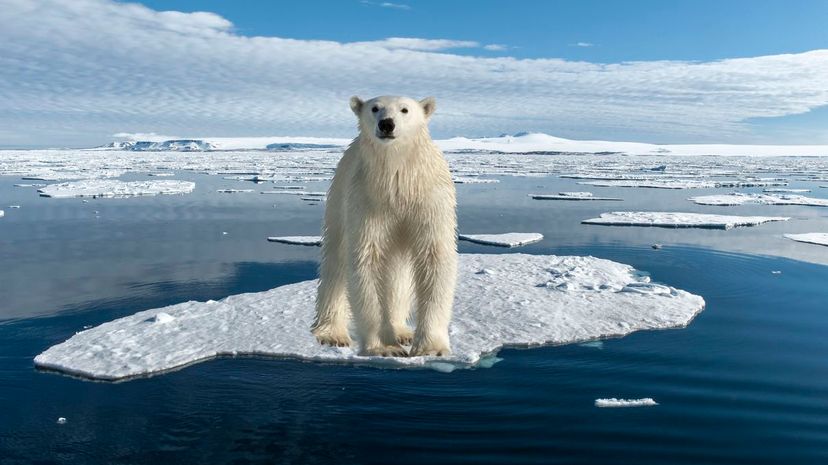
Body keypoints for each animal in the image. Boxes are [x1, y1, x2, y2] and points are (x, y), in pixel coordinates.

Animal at [310, 94, 460, 356]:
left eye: (405, 110)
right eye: (375, 108)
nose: (387, 124)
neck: (398, 179)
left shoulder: (429, 200)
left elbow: (434, 258)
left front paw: (430, 347)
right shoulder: (367, 201)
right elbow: (367, 260)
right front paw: (385, 347)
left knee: (399, 272)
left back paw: (402, 330)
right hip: (339, 196)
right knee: (335, 261)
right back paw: (332, 333)